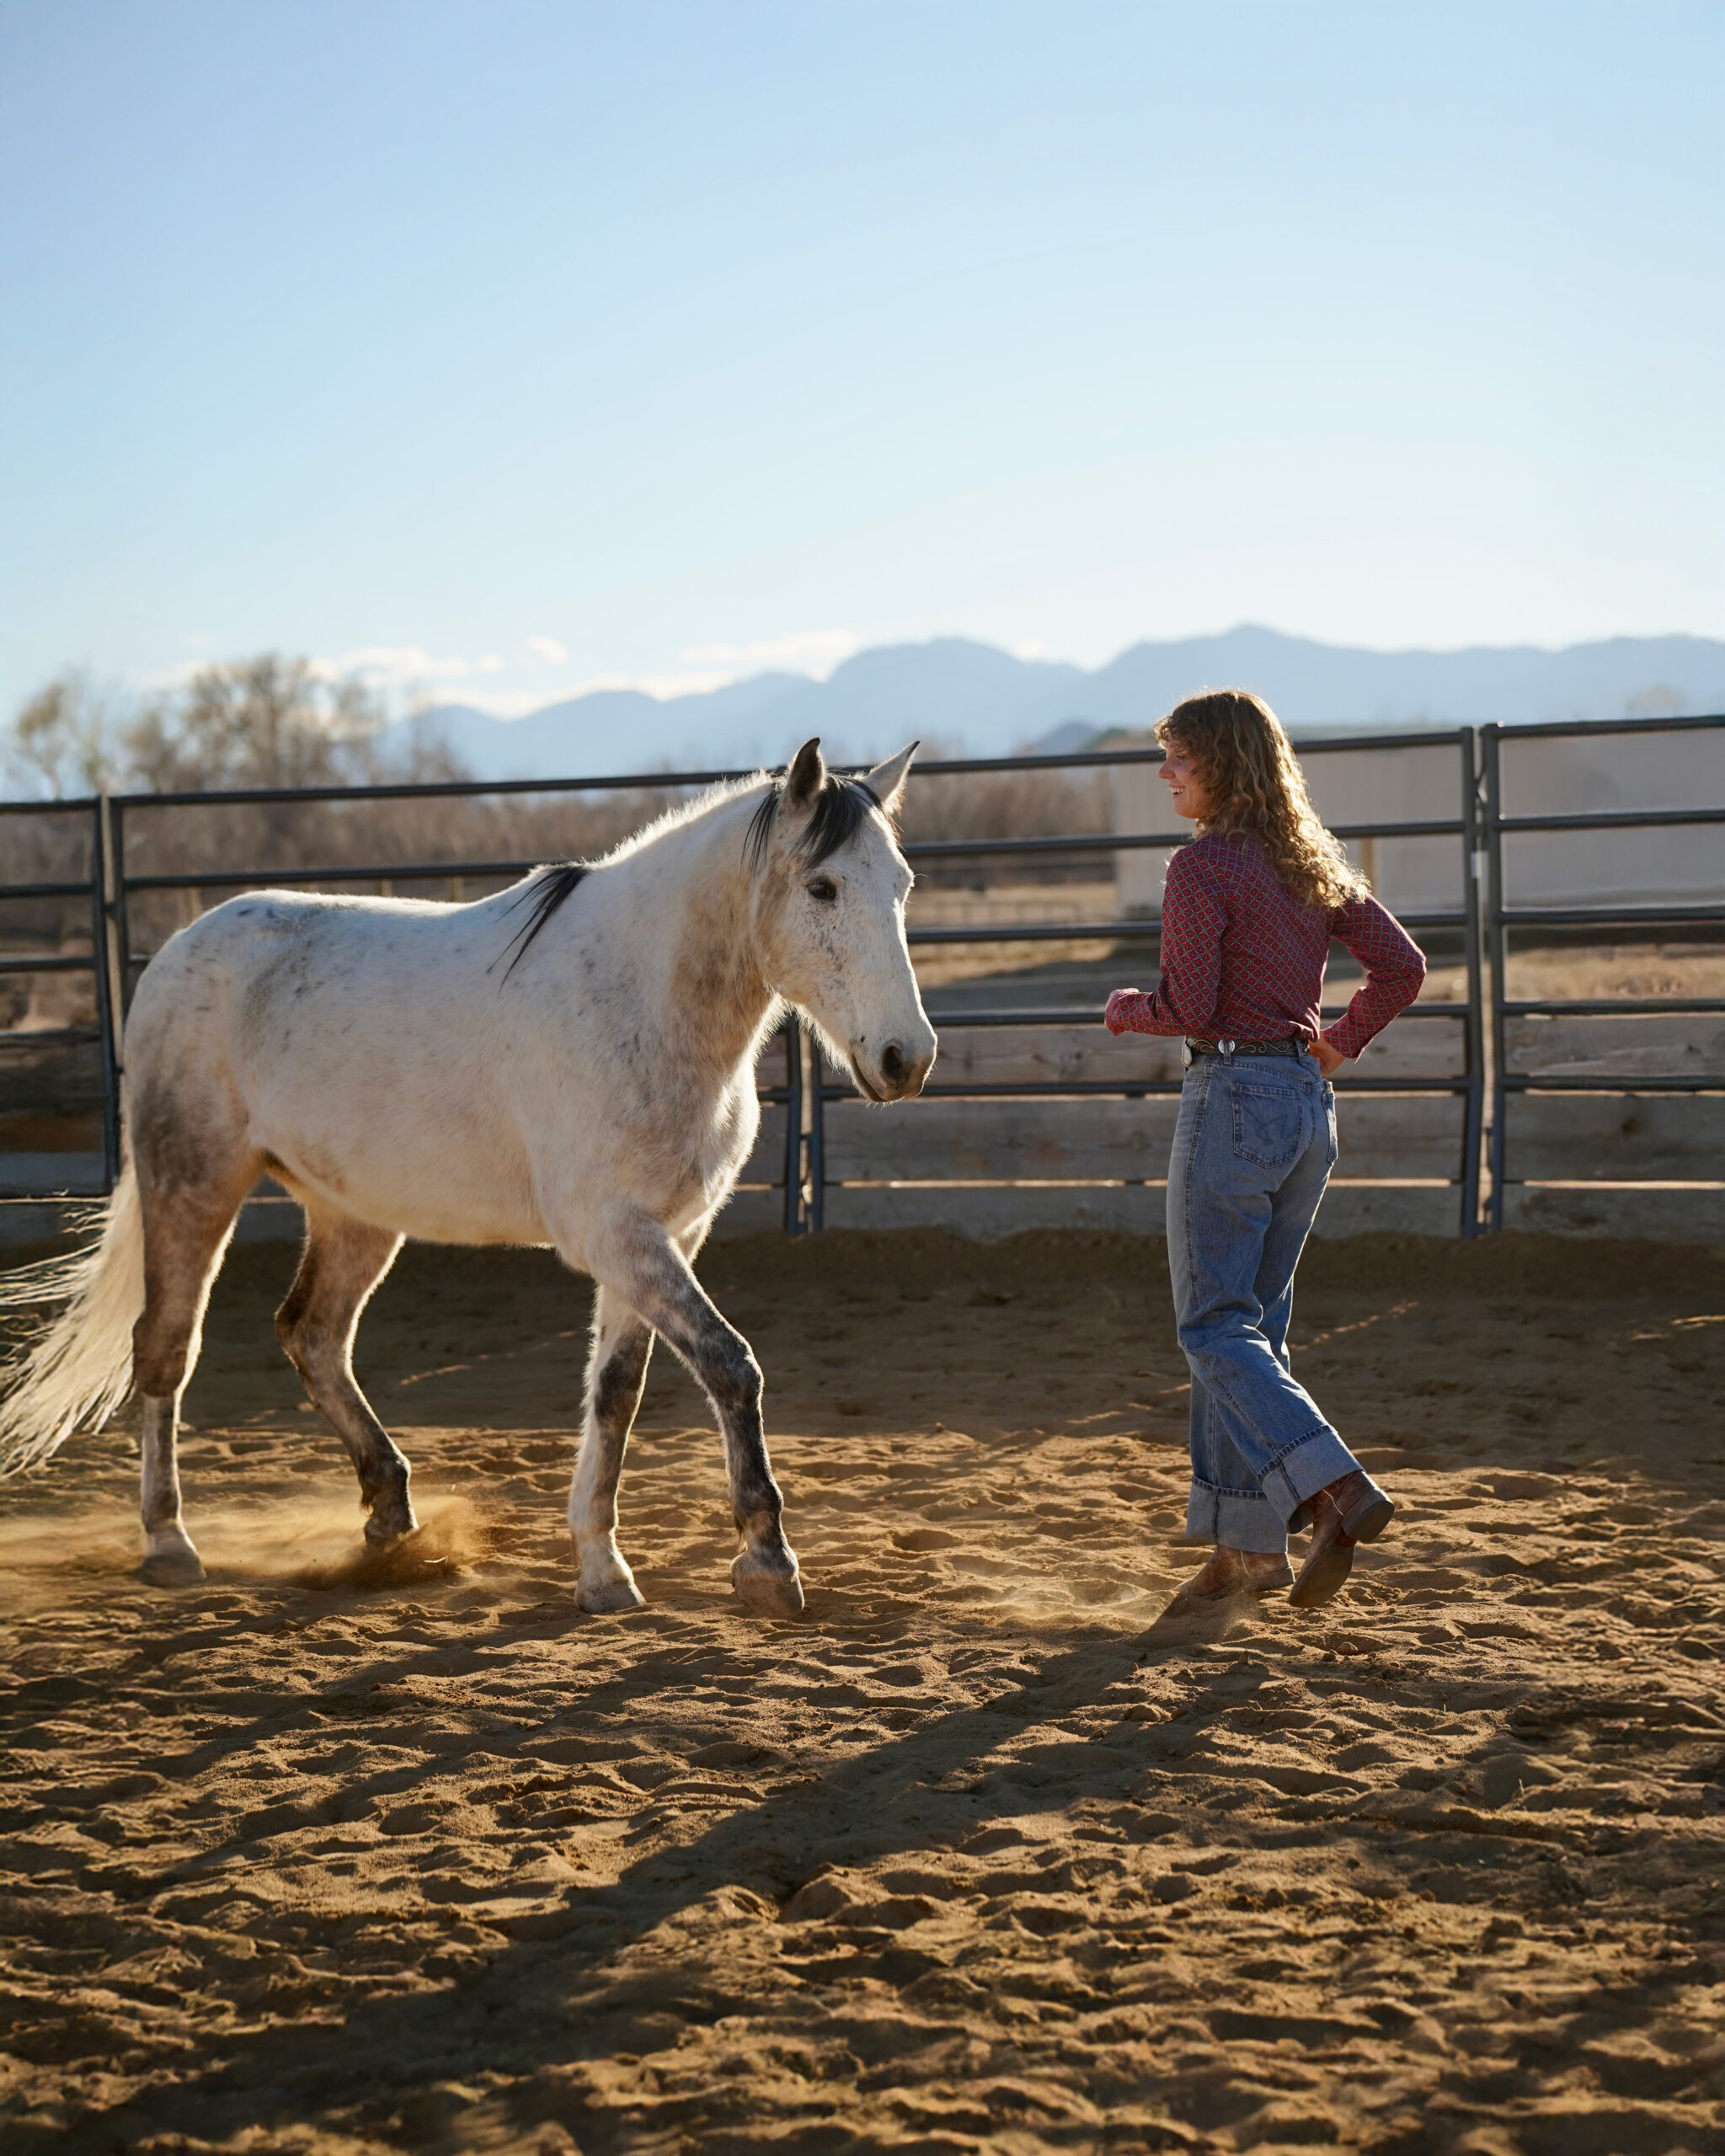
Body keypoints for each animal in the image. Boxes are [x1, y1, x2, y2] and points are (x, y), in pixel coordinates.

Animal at [0, 738, 935, 1616]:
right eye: (821, 887)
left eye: (901, 885)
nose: (907, 1058)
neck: (643, 998)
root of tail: (180, 951)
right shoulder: (615, 1233)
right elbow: (728, 1363)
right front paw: (767, 1562)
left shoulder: (662, 1233)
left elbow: (616, 1394)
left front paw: (601, 1568)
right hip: (192, 1182)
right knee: (167, 1348)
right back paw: (170, 1543)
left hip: (353, 1212)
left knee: (312, 1334)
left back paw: (390, 1516)